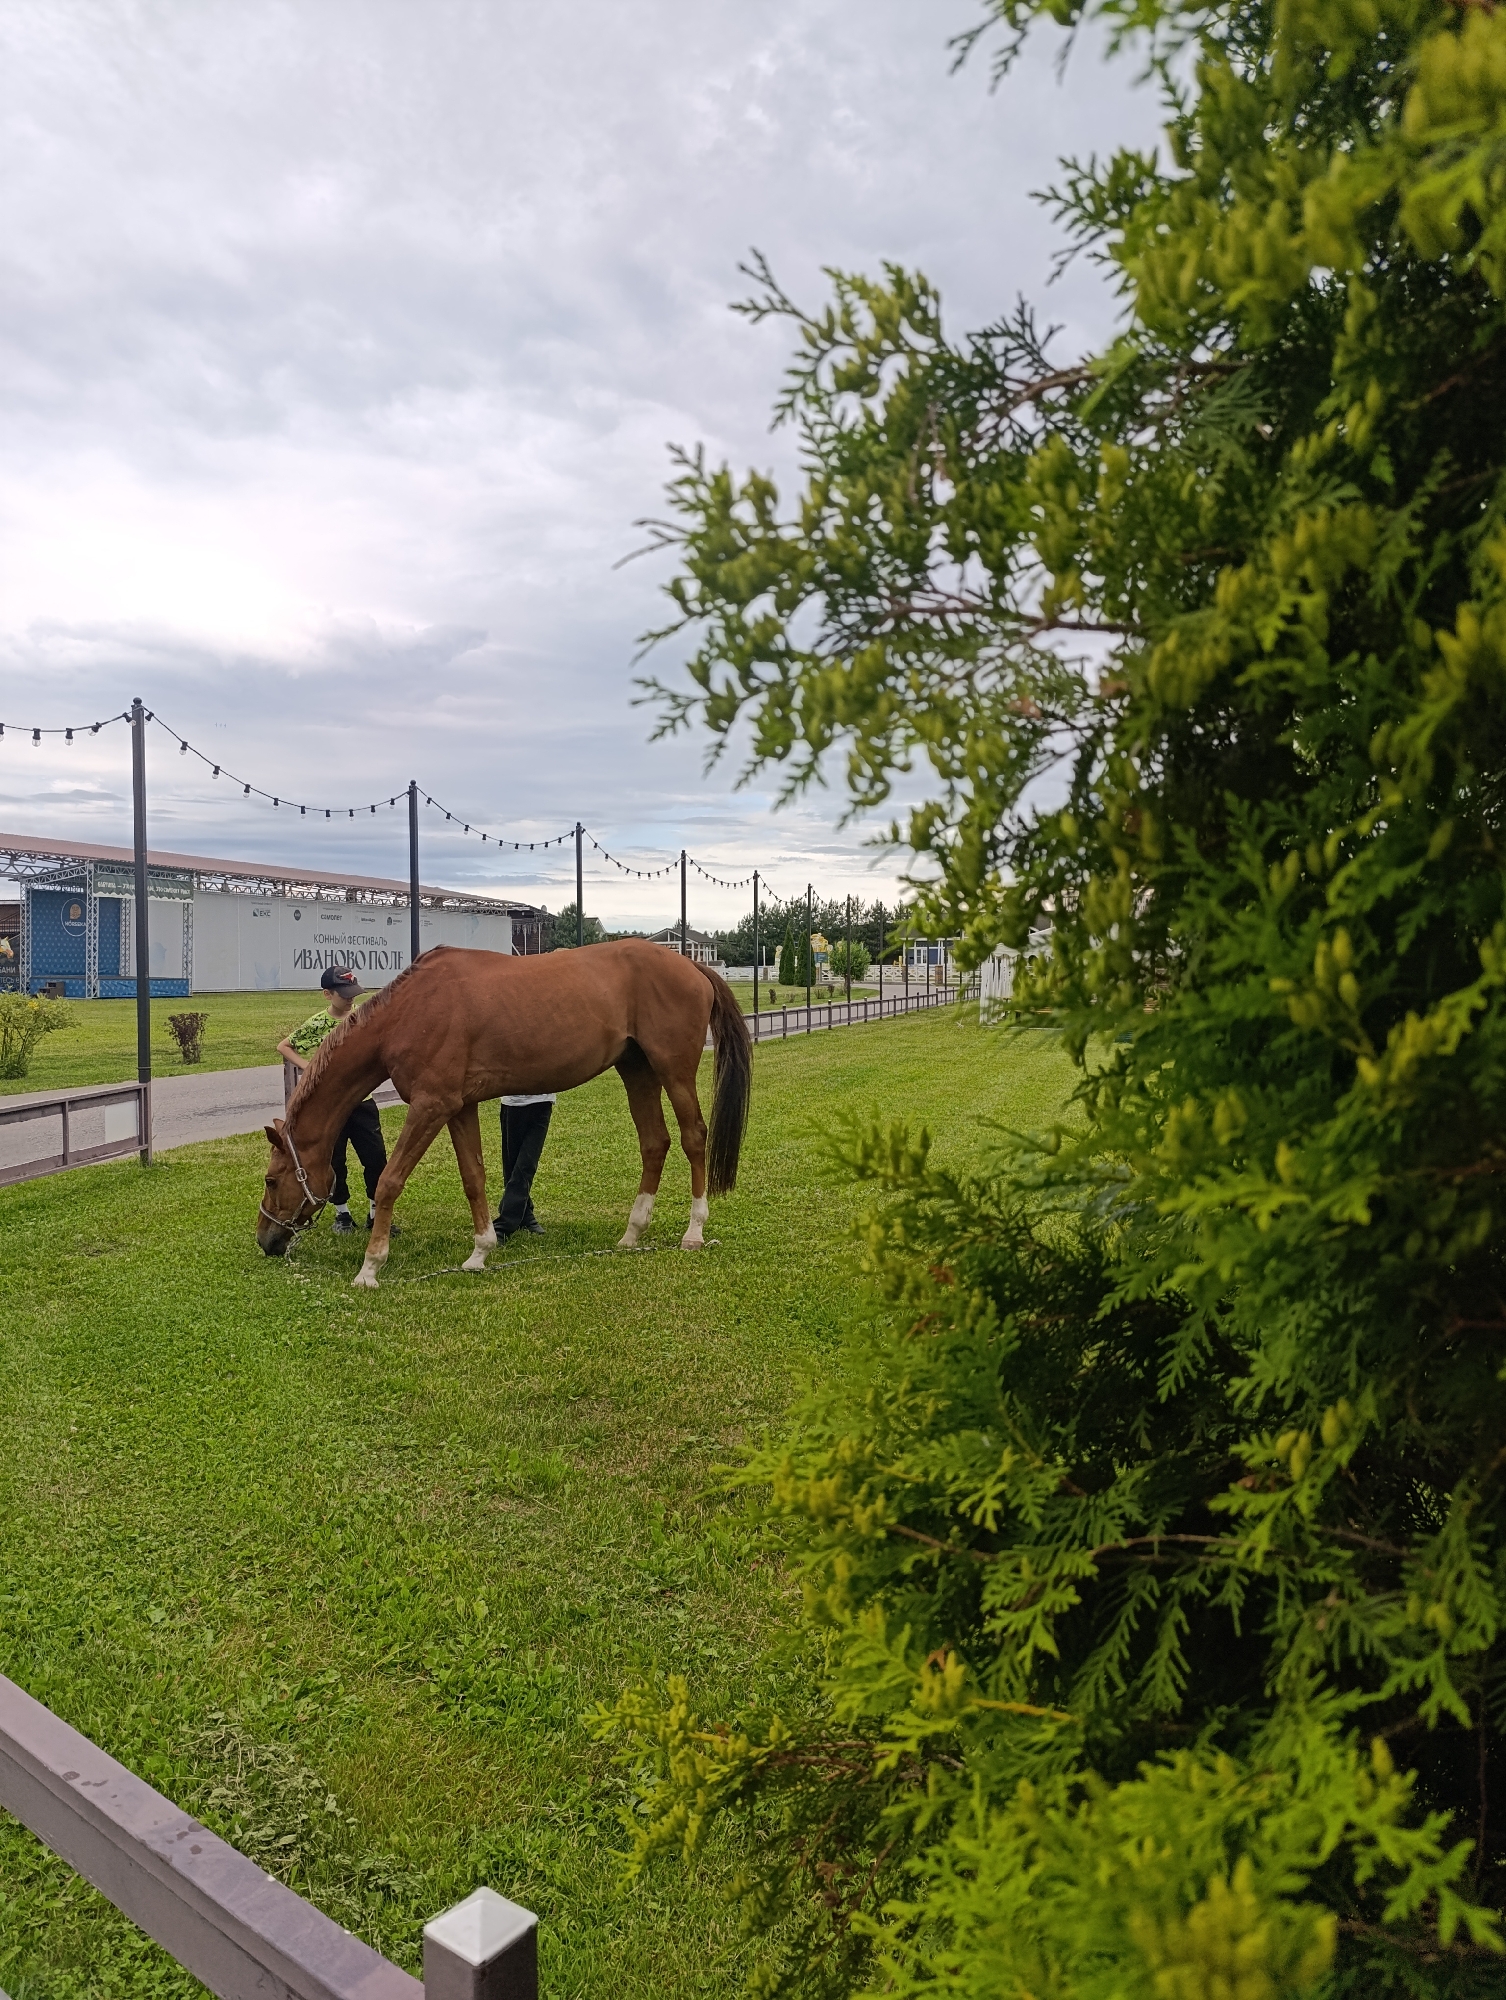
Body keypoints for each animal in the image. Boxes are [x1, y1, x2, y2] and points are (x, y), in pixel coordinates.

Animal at [255, 939, 752, 1287]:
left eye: (271, 1180)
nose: (266, 1241)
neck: (410, 1012)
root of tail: (691, 964)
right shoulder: (458, 1107)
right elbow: (473, 1177)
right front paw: (479, 1253)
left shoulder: (430, 1106)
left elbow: (389, 1180)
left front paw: (370, 1268)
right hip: (637, 1069)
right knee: (654, 1142)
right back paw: (632, 1234)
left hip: (673, 1069)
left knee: (693, 1136)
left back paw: (694, 1232)